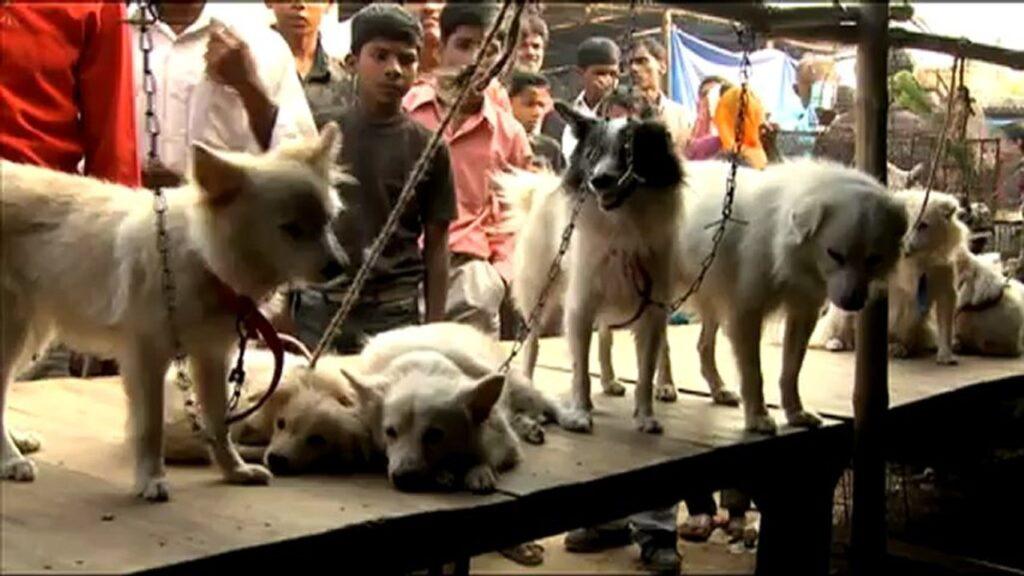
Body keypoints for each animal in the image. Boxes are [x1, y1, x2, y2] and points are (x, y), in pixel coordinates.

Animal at [2, 121, 346, 498]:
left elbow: (218, 424)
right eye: (291, 229)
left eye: (328, 222)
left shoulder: (212, 357)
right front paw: (151, 479)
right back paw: (11, 460)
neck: (202, 258)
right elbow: (151, 428)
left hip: (28, 337)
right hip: (13, 334)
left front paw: (235, 470)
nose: (340, 267)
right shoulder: (147, 359)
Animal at [344, 319, 569, 491]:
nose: (402, 479)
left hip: (520, 388)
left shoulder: (506, 443)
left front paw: (479, 470)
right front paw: (442, 473)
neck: (424, 364)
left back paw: (566, 418)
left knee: (546, 401)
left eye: (434, 435)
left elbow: (487, 453)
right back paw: (528, 426)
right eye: (390, 432)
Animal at [679, 156, 905, 430]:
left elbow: (791, 370)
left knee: (703, 345)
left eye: (873, 259)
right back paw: (663, 388)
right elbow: (753, 373)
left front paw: (796, 413)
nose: (852, 303)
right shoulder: (746, 315)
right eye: (834, 254)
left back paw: (718, 390)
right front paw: (758, 416)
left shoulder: (803, 313)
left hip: (713, 300)